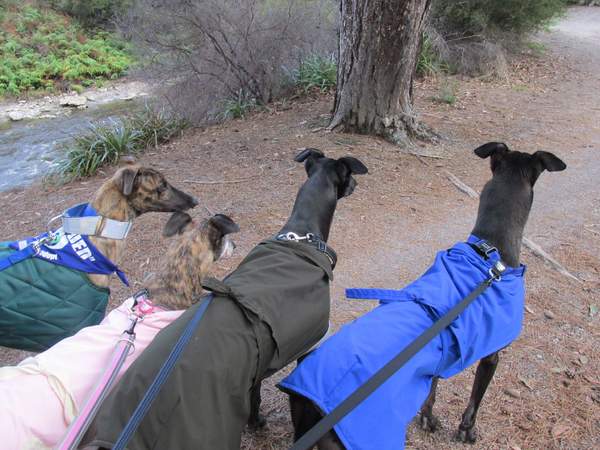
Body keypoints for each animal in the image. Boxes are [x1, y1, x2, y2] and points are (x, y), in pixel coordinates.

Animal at [278, 143, 564, 450]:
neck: (489, 251)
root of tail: (313, 405)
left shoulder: (440, 355)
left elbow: (432, 387)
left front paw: (427, 418)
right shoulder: (492, 355)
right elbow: (475, 399)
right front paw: (467, 429)